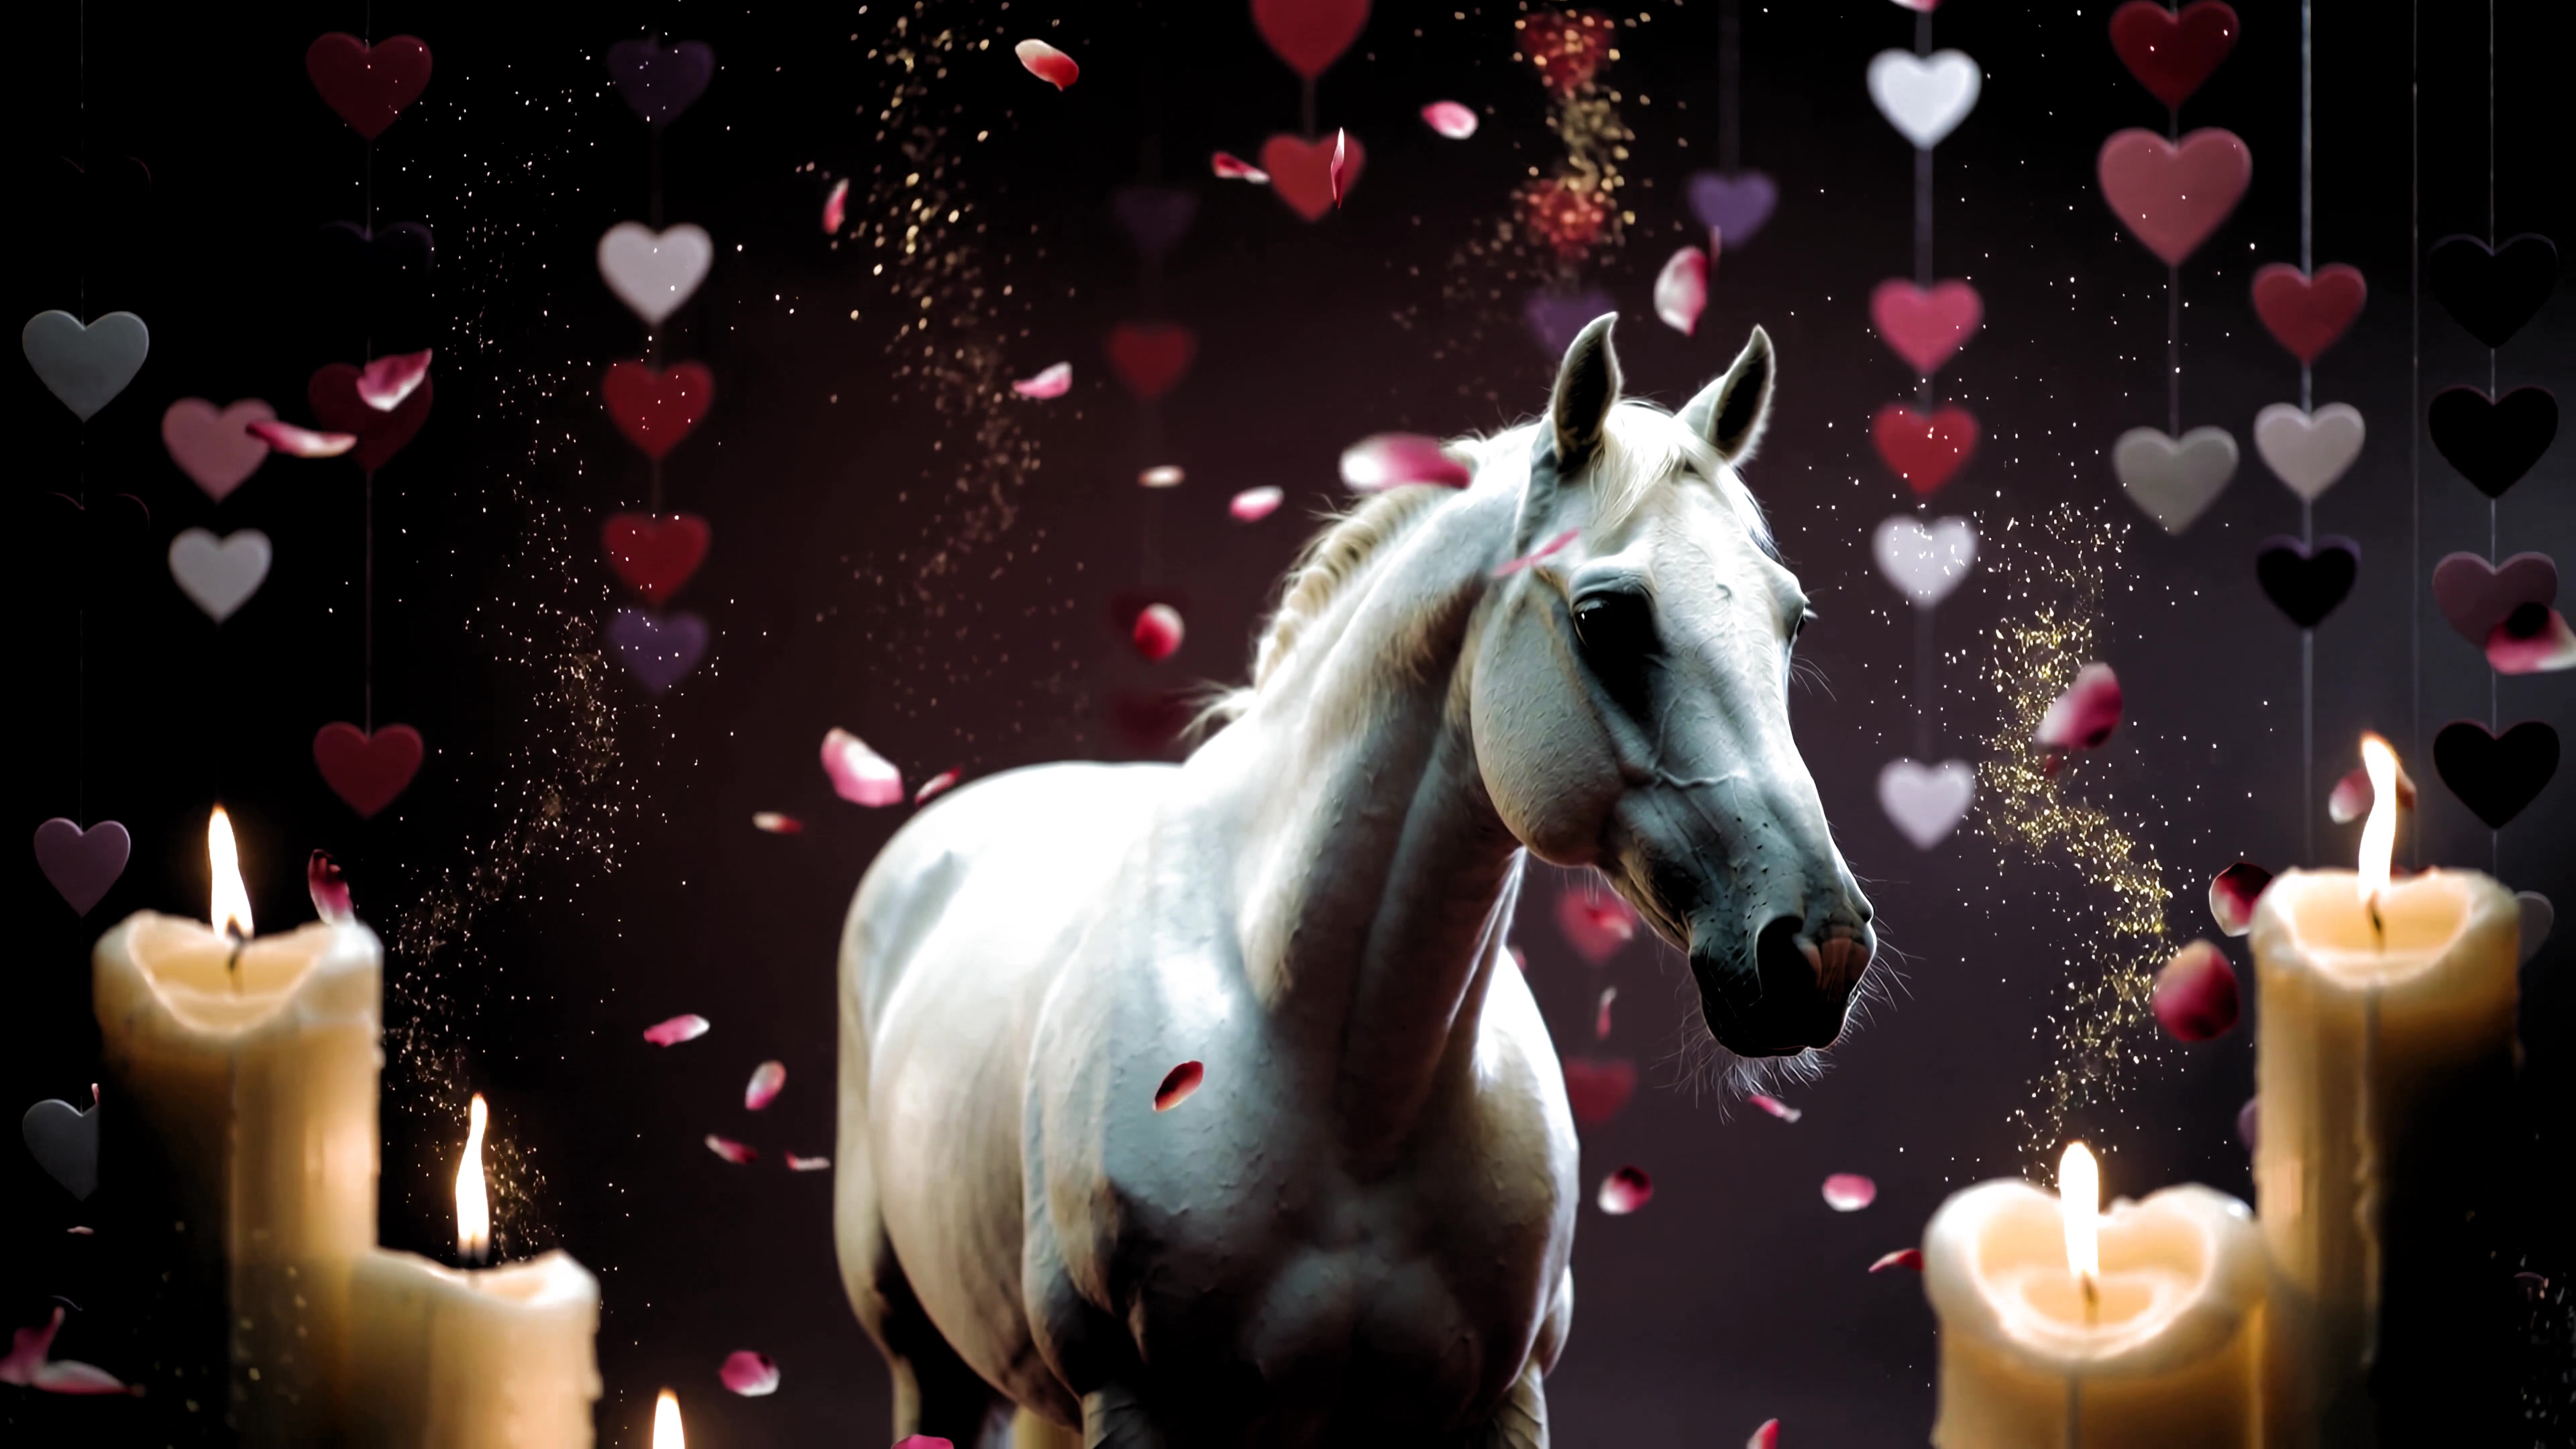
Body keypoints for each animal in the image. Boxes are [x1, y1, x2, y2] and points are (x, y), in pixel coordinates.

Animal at [834, 315, 1877, 1448]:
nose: (1820, 947)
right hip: (930, 1371)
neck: (1349, 1086)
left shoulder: (1504, 1400)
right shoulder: (1133, 1398)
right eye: (1606, 616)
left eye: (1794, 620)